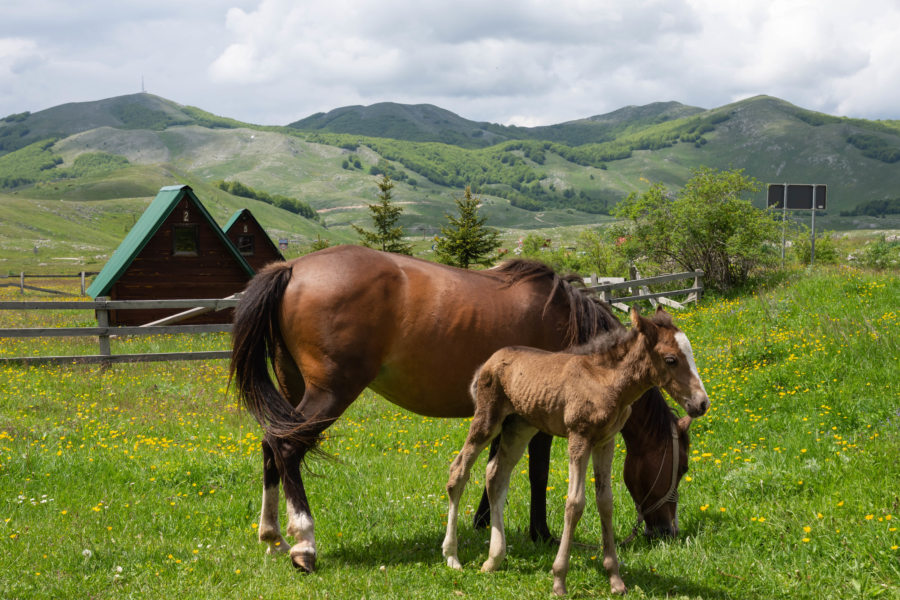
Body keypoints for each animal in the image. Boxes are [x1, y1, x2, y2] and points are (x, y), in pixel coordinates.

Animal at [230, 245, 688, 572]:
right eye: (680, 467)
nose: (667, 532)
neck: (568, 323)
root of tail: (292, 268)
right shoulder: (541, 416)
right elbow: (537, 473)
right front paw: (539, 533)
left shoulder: (508, 411)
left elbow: (495, 467)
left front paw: (484, 522)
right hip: (330, 392)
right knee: (286, 448)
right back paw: (303, 543)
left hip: (293, 388)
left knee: (272, 445)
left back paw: (273, 537)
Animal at [442, 308, 712, 596]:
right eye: (671, 359)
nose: (701, 403)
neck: (606, 381)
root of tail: (489, 362)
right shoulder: (579, 437)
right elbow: (574, 503)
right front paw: (559, 579)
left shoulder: (605, 442)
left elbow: (605, 502)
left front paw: (615, 579)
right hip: (487, 420)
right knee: (458, 471)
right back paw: (452, 556)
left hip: (519, 427)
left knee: (495, 475)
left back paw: (493, 559)